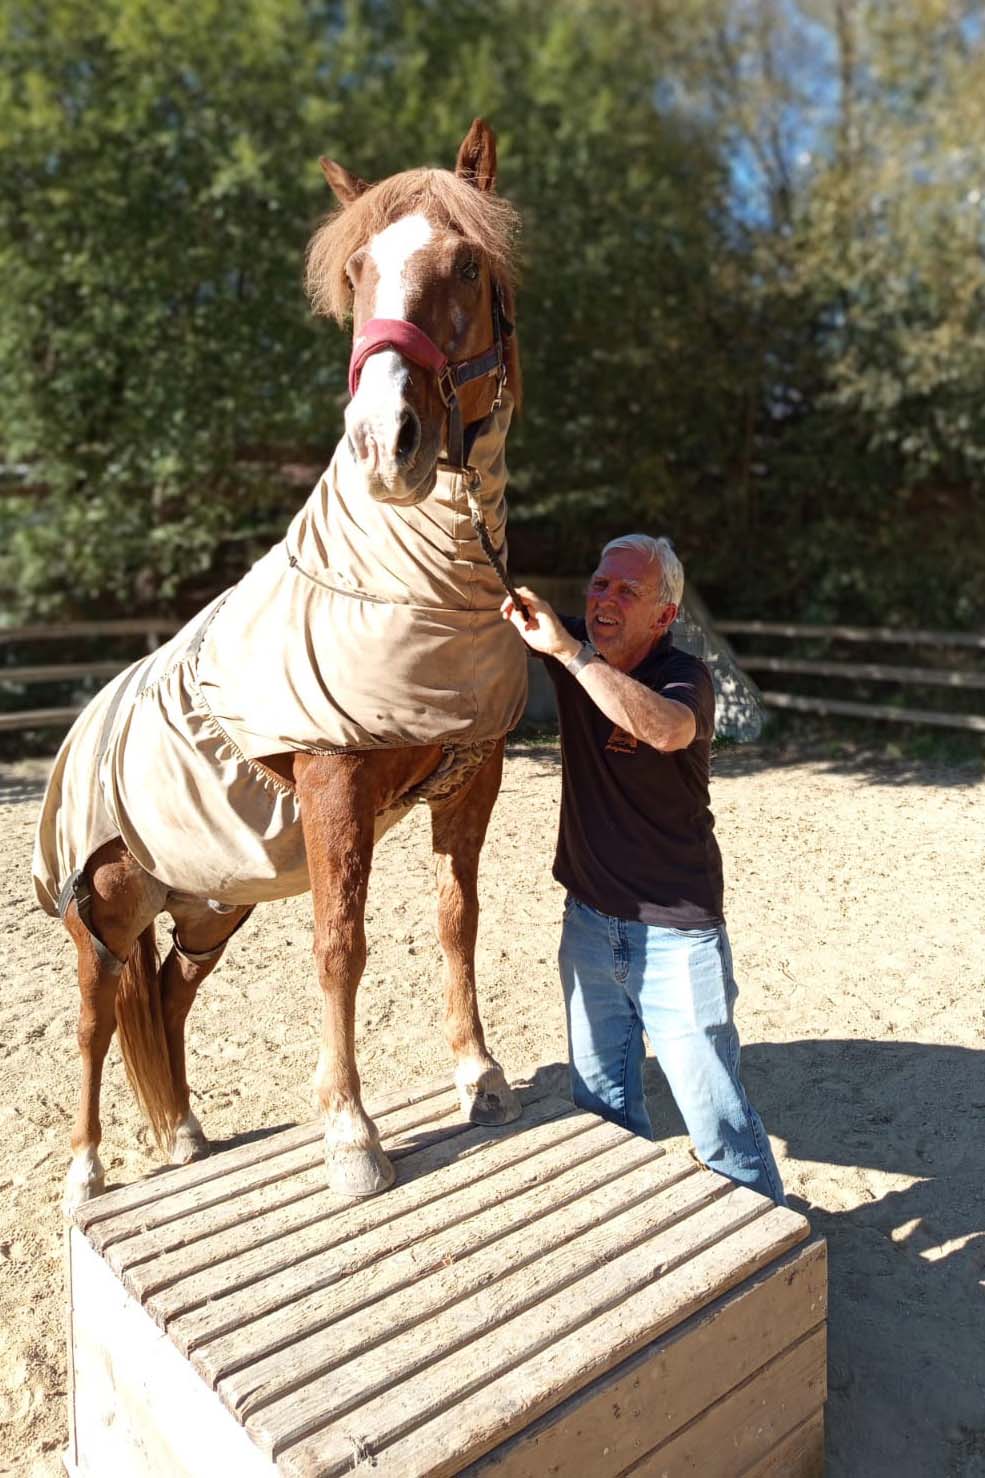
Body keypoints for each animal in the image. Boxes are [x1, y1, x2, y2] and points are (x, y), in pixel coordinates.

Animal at [34, 119, 529, 1212]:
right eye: (355, 274)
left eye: (467, 265)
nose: (385, 444)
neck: (400, 573)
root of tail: (80, 729)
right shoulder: (333, 780)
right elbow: (339, 945)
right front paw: (351, 1135)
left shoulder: (472, 776)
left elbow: (457, 920)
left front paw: (478, 1075)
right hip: (98, 920)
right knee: (94, 1020)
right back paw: (87, 1173)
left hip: (207, 906)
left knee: (167, 997)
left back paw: (185, 1135)